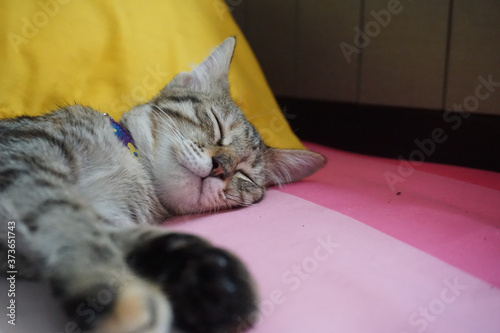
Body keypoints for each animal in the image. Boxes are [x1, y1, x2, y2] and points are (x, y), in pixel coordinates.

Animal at [0, 37, 326, 330]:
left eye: (243, 174)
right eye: (217, 125)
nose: (220, 167)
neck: (134, 168)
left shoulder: (108, 219)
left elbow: (124, 236)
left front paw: (210, 279)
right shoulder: (27, 158)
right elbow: (69, 221)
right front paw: (115, 296)